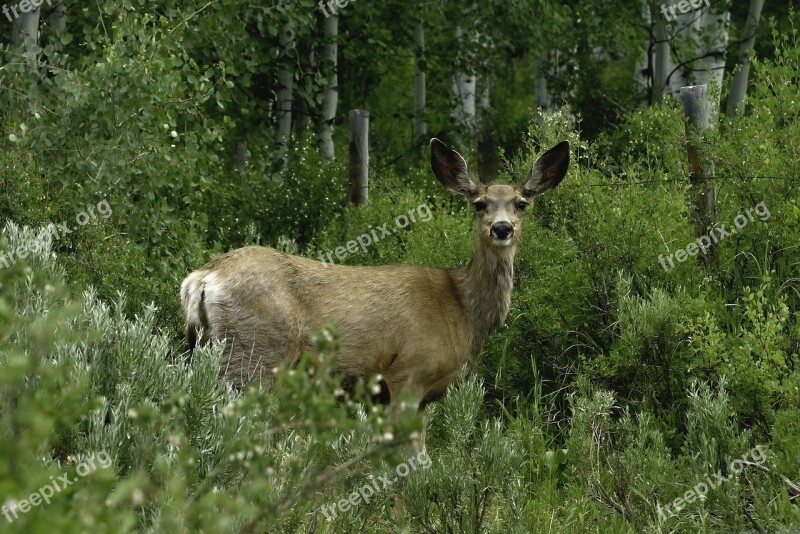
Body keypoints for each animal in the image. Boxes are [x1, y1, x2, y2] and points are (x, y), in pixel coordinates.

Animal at [181, 138, 568, 418]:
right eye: (479, 204)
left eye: (521, 204)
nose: (501, 228)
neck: (463, 311)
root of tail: (203, 277)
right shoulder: (409, 373)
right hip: (256, 352)